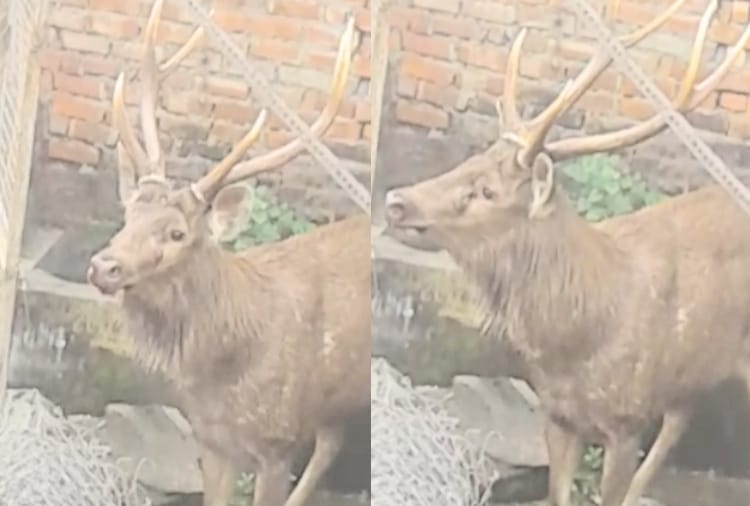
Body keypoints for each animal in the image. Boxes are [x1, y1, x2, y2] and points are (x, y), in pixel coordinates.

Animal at [85, 2, 370, 506]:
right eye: (129, 212)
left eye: (177, 232)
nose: (104, 266)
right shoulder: (211, 440)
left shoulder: (277, 442)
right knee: (332, 440)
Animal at [383, 1, 750, 505]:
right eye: (470, 160)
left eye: (487, 190)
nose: (396, 201)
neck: (577, 338)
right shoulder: (557, 415)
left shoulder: (626, 421)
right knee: (680, 420)